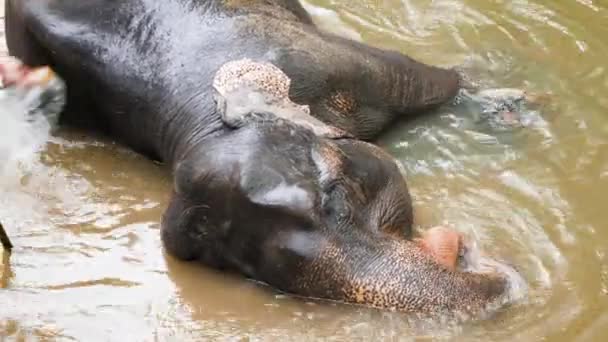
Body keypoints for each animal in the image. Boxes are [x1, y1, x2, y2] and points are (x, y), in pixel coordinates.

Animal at [3, 0, 528, 316]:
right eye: (248, 267)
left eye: (339, 191)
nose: (495, 274)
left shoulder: (322, 60)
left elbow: (424, 78)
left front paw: (507, 107)